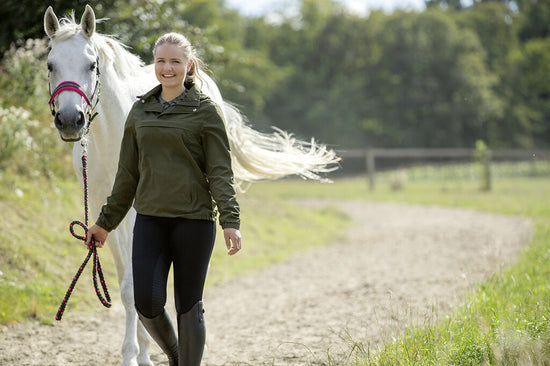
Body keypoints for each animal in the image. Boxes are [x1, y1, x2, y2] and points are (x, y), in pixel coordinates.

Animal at [44, 5, 336, 366]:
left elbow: (136, 288)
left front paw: (140, 355)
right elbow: (131, 288)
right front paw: (134, 354)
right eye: (51, 65)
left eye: (91, 65)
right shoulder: (104, 211)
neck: (111, 138)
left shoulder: (136, 214)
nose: (71, 121)